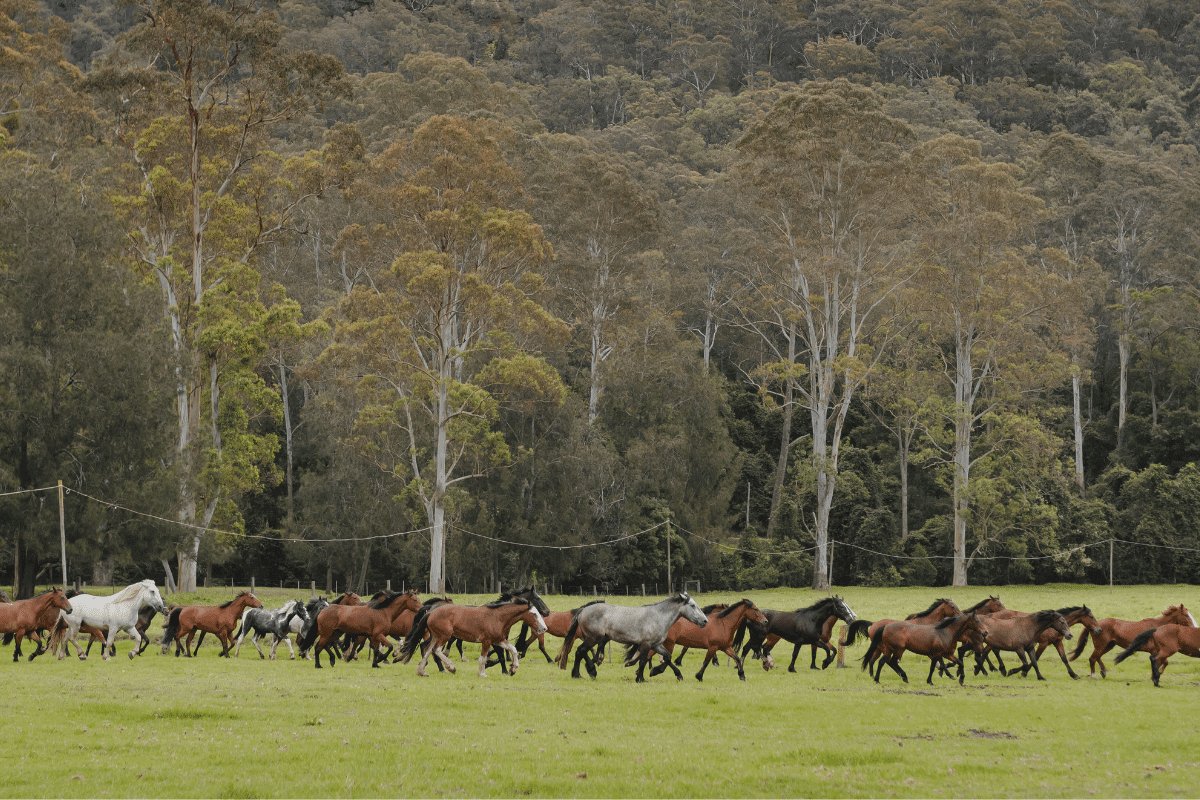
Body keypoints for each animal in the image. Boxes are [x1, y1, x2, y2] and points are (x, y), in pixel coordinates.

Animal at [398, 594, 544, 676]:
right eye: (534, 614)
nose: (544, 628)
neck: (498, 617)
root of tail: (431, 612)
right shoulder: (487, 641)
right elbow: (483, 658)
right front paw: (483, 673)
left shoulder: (498, 640)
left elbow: (512, 650)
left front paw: (513, 669)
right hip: (444, 636)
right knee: (436, 650)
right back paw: (450, 667)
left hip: (435, 636)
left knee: (428, 650)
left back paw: (422, 671)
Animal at [554, 594, 705, 681]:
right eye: (692, 605)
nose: (705, 621)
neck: (658, 617)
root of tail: (583, 610)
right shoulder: (646, 644)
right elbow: (643, 661)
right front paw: (640, 678)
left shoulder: (656, 644)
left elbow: (667, 657)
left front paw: (673, 674)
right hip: (593, 638)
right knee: (580, 651)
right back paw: (578, 674)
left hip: (590, 638)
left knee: (582, 652)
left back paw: (584, 672)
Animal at [724, 597, 859, 671]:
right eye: (841, 606)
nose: (852, 619)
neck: (812, 619)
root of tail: (748, 617)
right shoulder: (800, 641)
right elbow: (795, 654)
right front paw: (792, 669)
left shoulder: (815, 640)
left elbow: (830, 650)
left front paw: (825, 663)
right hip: (760, 636)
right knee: (756, 647)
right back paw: (767, 663)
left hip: (756, 637)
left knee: (748, 648)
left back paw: (744, 665)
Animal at [1065, 604, 1195, 681]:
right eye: (1186, 615)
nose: (1195, 627)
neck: (1158, 628)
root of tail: (1095, 626)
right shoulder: (1155, 650)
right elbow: (1163, 662)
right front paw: (1156, 675)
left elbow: (1164, 662)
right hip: (1101, 645)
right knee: (1093, 658)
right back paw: (1095, 675)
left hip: (1109, 645)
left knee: (1097, 657)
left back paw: (1103, 672)